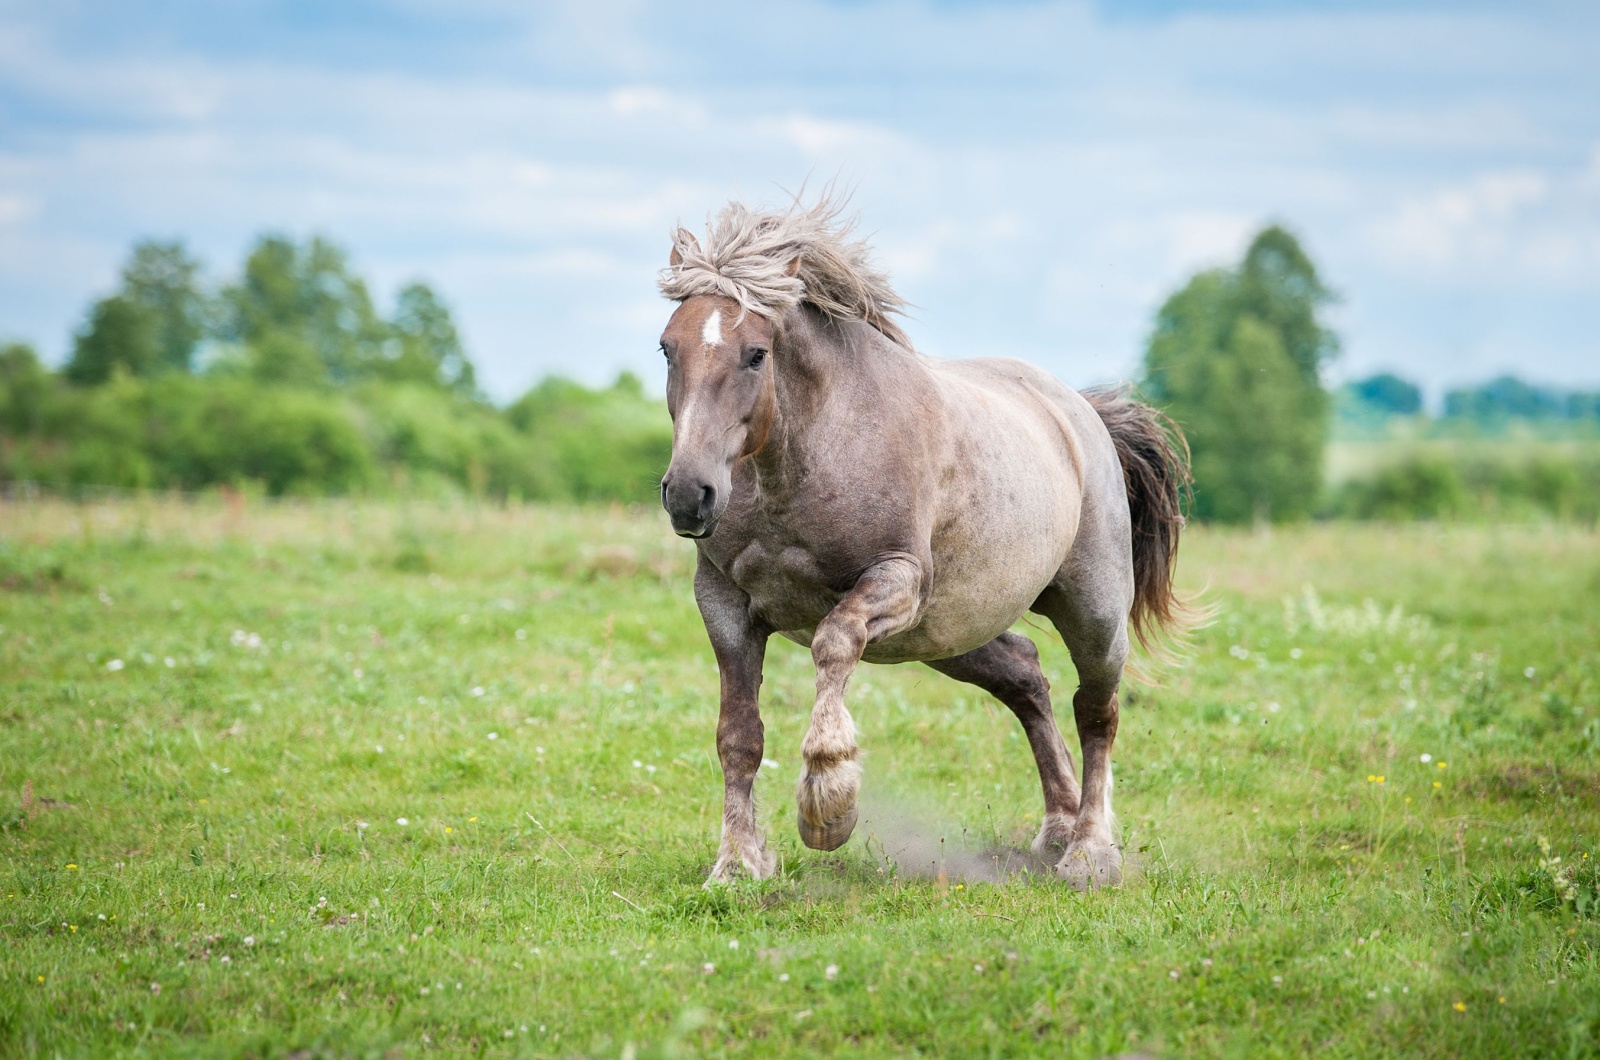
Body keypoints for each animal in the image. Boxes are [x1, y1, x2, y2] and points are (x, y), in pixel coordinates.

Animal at [649, 196, 1190, 890]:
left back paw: (1089, 853)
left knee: (1097, 712)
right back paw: (1056, 829)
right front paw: (738, 863)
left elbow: (834, 643)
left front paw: (828, 803)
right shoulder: (723, 603)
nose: (689, 495)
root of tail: (1081, 412)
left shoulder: (898, 581)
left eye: (756, 354)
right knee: (1025, 677)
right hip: (951, 631)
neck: (805, 457)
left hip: (1089, 610)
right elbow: (739, 736)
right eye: (668, 348)